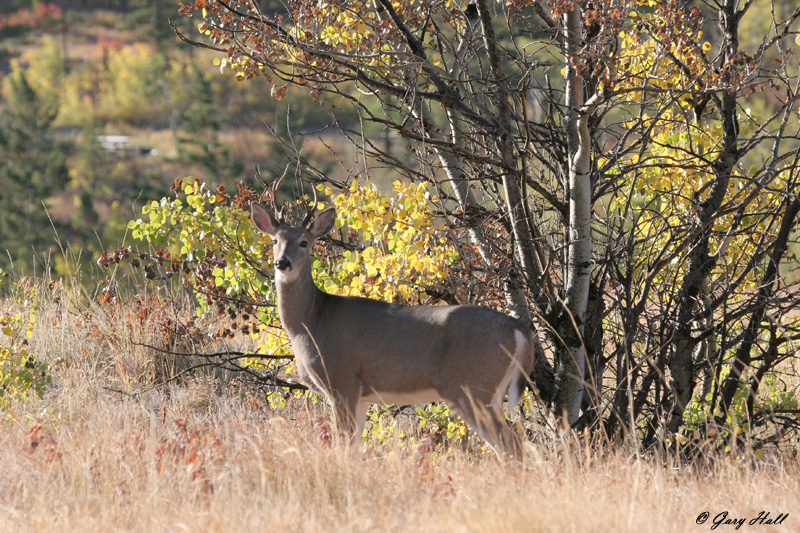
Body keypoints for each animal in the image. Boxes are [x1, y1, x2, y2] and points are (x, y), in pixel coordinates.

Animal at [250, 180, 536, 462]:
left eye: (304, 242)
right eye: (275, 240)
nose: (282, 263)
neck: (312, 321)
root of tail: (518, 328)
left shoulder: (342, 379)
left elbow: (343, 445)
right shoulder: (360, 394)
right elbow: (354, 446)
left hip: (473, 386)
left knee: (512, 445)